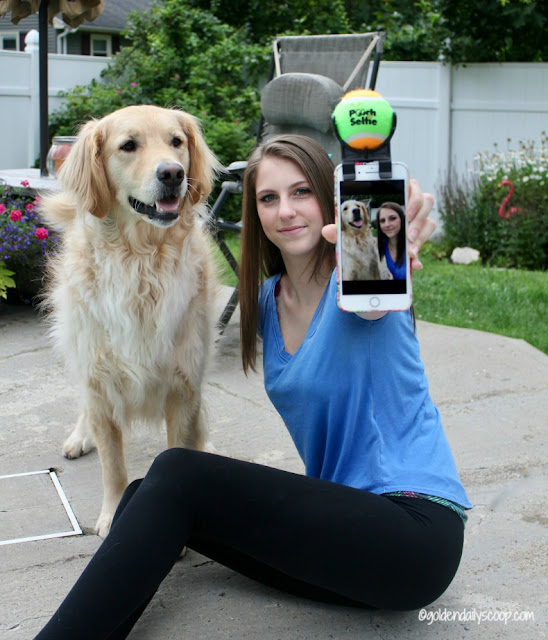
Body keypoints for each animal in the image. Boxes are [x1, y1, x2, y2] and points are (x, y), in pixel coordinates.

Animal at [38, 105, 223, 536]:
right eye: (128, 146)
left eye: (176, 141)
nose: (173, 173)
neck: (140, 262)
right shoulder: (99, 381)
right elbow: (113, 466)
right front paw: (111, 515)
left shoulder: (183, 385)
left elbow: (180, 446)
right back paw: (79, 436)